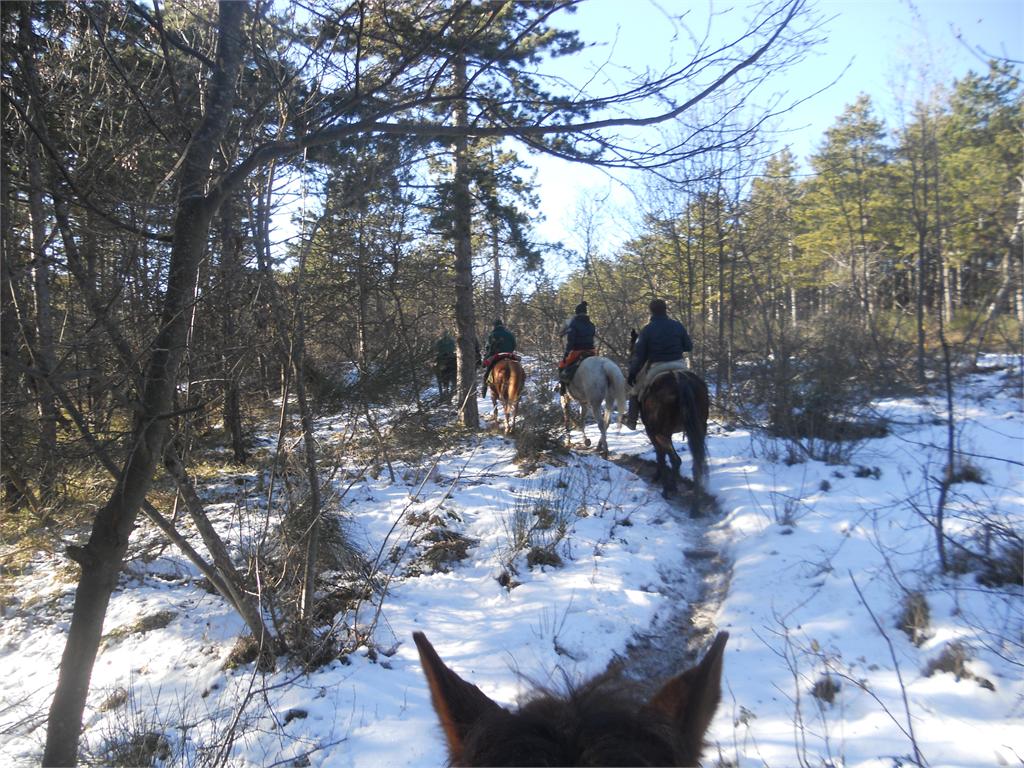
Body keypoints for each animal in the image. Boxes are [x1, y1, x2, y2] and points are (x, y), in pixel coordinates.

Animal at [629, 330, 710, 507]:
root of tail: (680, 380)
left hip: (661, 432)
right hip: (699, 429)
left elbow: (660, 454)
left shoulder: (651, 430)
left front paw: (659, 477)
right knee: (696, 462)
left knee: (675, 459)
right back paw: (695, 504)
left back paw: (668, 490)